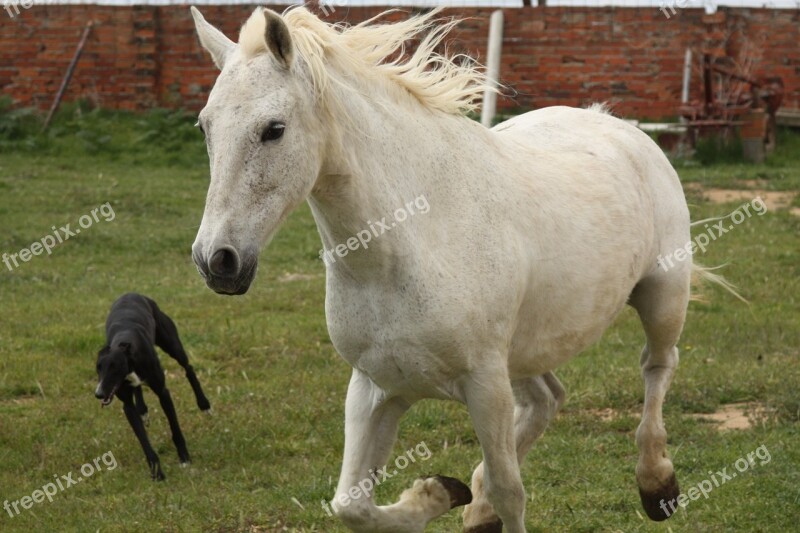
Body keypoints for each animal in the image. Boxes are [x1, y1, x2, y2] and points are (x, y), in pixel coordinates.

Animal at [94, 294, 209, 480]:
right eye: (98, 368)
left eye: (114, 367)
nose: (99, 393)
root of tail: (132, 293)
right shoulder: (127, 405)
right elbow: (143, 439)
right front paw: (156, 472)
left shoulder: (163, 393)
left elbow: (175, 428)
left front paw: (184, 458)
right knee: (138, 389)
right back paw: (143, 410)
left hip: (172, 344)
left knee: (188, 368)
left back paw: (204, 404)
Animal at [191, 6, 736, 528]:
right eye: (205, 126)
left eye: (274, 130)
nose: (217, 261)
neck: (409, 244)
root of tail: (619, 127)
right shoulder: (375, 387)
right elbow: (351, 504)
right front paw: (440, 493)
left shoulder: (484, 385)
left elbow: (510, 490)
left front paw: (461, 495)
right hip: (523, 350)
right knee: (548, 397)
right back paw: (476, 510)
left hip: (662, 295)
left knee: (657, 366)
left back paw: (657, 485)